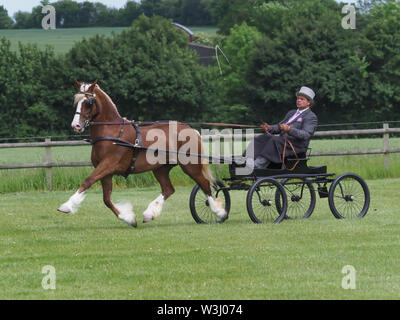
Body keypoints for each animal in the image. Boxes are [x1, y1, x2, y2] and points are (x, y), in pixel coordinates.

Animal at [57, 81, 228, 226]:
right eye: (76, 101)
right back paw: (149, 214)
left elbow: (88, 181)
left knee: (204, 184)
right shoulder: (106, 172)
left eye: (88, 102)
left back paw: (218, 212)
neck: (113, 132)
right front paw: (128, 218)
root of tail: (190, 129)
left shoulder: (108, 165)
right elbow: (106, 199)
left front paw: (67, 206)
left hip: (190, 165)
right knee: (168, 189)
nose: (75, 125)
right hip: (161, 168)